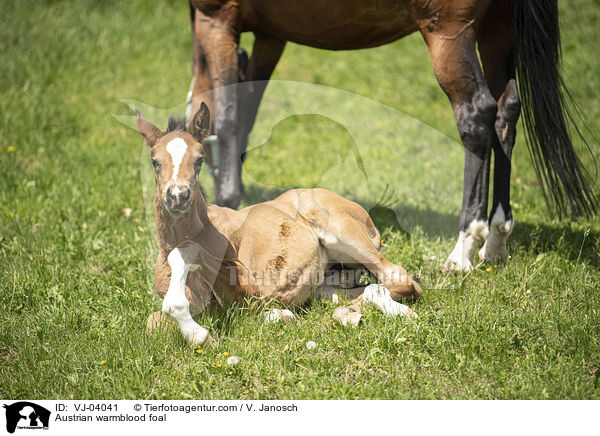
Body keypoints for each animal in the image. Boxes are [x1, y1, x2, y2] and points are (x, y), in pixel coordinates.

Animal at [138, 104, 420, 346]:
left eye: (199, 160)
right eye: (154, 161)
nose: (178, 196)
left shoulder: (248, 289)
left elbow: (188, 256)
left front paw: (201, 336)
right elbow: (152, 324)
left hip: (342, 232)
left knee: (397, 278)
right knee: (341, 291)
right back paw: (346, 313)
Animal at [186, 0, 596, 270]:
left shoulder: (217, 17)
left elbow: (227, 116)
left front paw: (227, 204)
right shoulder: (271, 33)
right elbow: (247, 109)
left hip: (450, 33)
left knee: (478, 116)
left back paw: (464, 246)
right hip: (498, 27)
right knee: (506, 111)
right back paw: (495, 239)